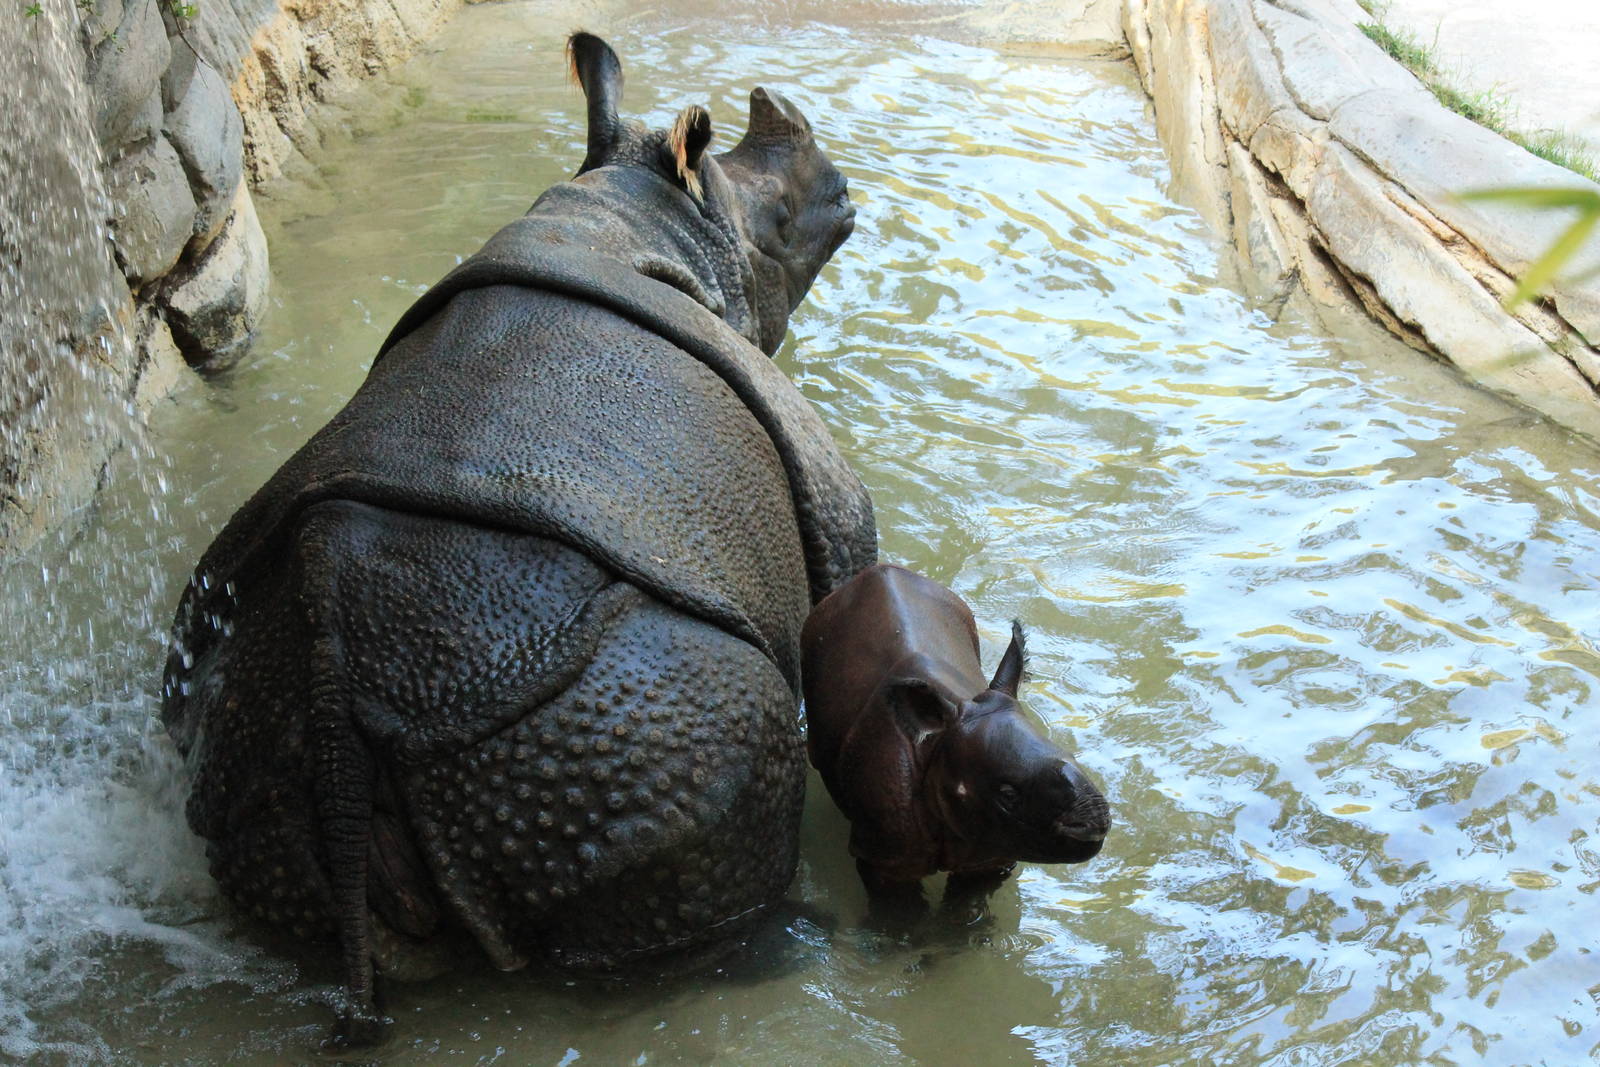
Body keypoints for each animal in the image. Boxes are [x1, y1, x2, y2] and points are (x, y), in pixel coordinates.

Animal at [161, 33, 874, 1045]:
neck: (653, 219)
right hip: (609, 709)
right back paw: (787, 944)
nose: (846, 195)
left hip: (255, 736)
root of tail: (338, 671)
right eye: (779, 218)